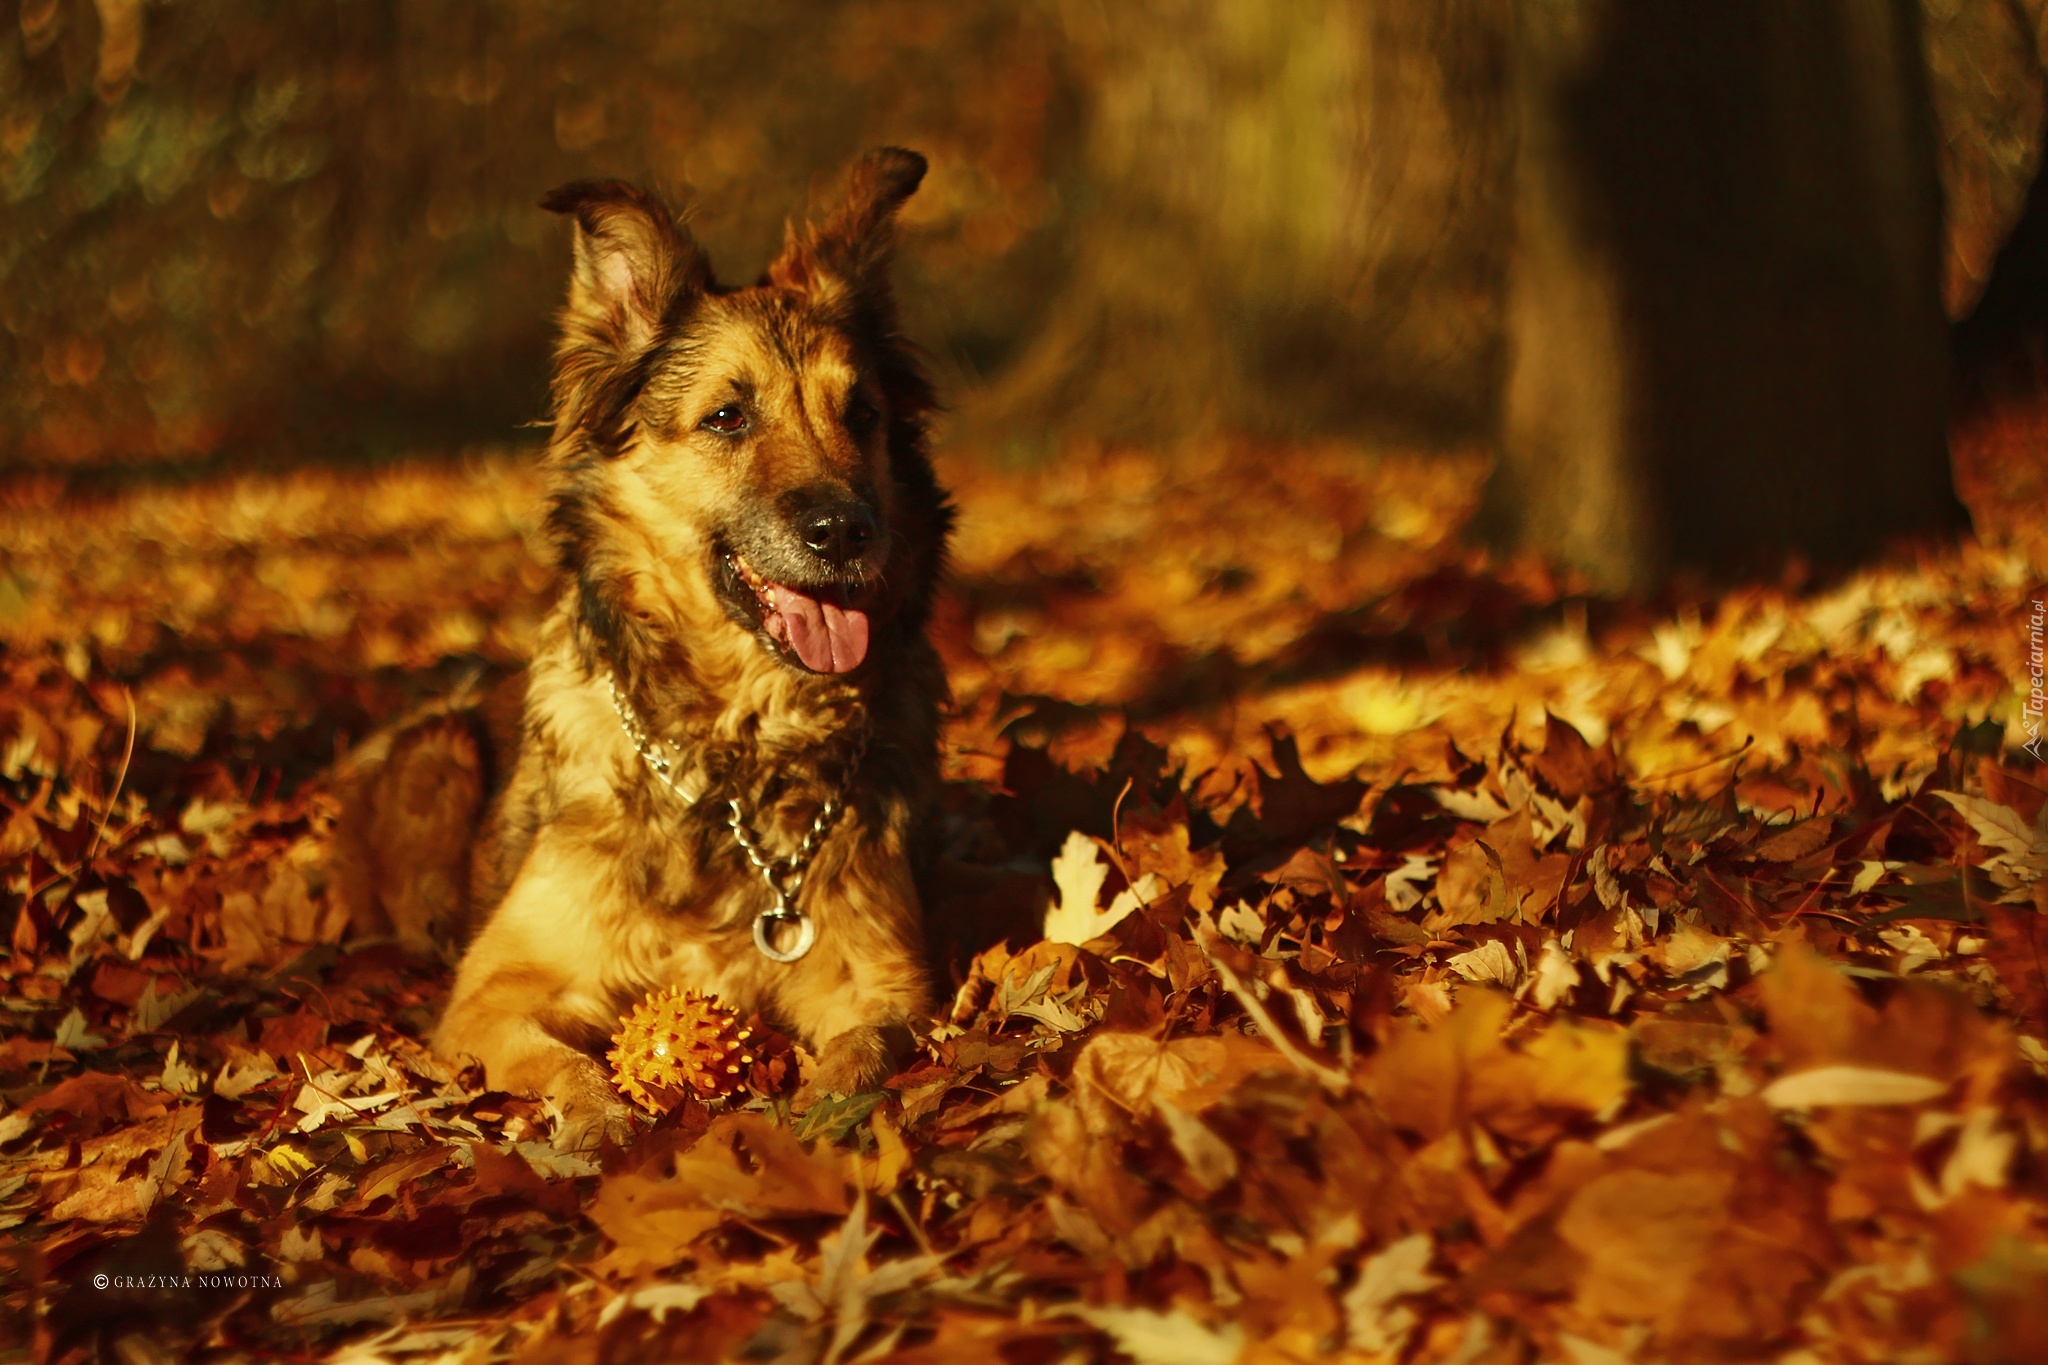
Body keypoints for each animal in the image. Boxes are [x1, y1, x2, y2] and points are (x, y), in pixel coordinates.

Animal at [428, 149, 954, 1146]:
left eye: (861, 413)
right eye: (726, 418)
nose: (846, 532)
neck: (734, 756)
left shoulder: (884, 981)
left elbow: (864, 1047)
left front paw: (823, 1114)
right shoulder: (491, 991)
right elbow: (562, 1058)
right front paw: (597, 1119)